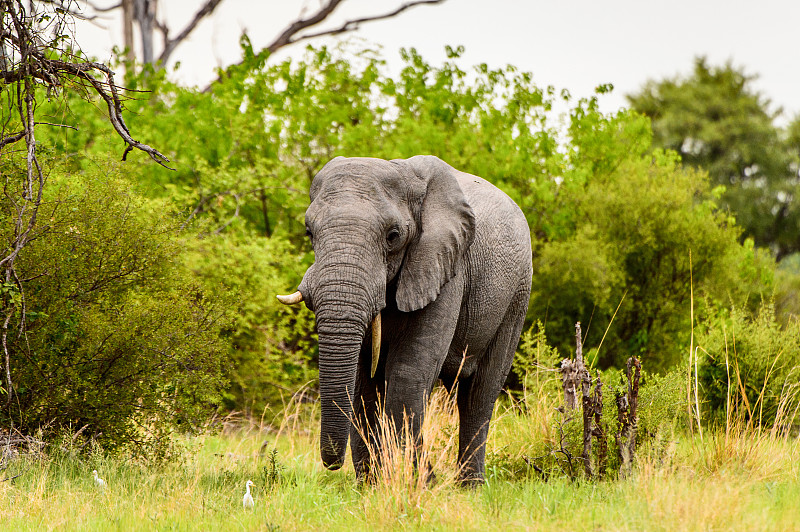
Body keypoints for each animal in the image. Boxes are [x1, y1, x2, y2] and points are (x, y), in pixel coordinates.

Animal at [276, 155, 532, 486]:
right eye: (309, 232)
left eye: (393, 236)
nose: (332, 464)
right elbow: (363, 383)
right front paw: (371, 485)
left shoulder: (444, 266)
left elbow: (408, 373)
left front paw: (423, 483)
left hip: (517, 295)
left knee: (479, 394)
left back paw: (469, 486)